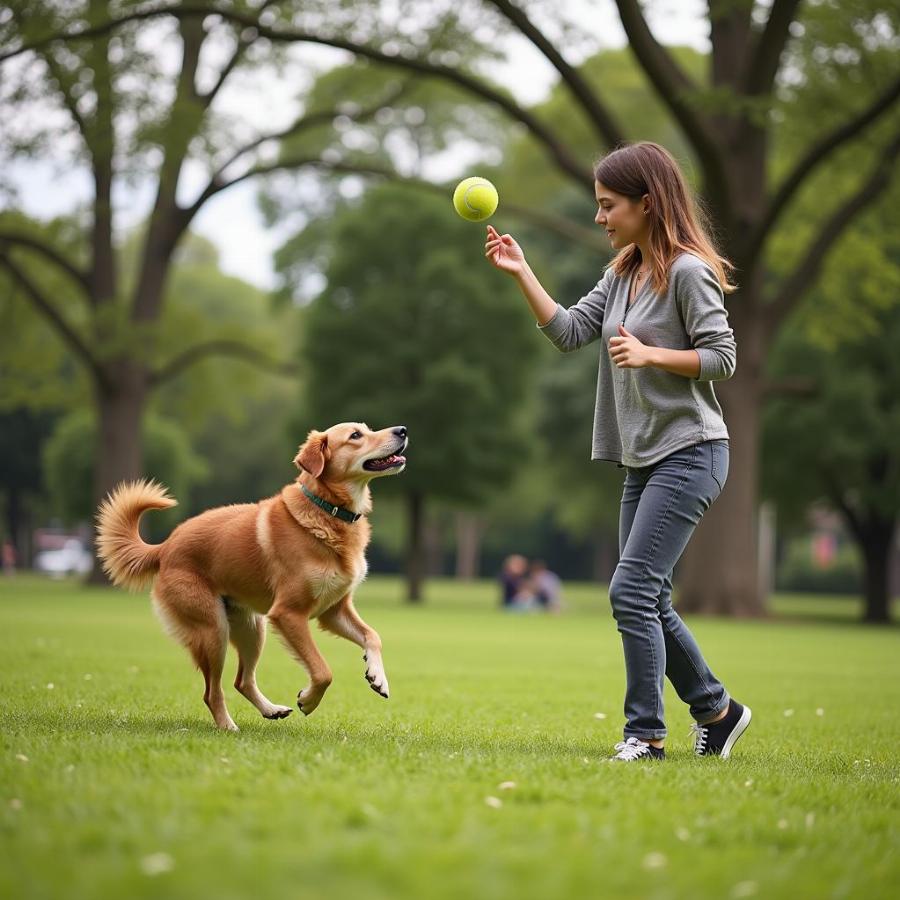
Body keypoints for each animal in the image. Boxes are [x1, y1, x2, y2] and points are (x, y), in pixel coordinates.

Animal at [96, 424, 408, 732]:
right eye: (355, 436)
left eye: (367, 428)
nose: (402, 430)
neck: (326, 510)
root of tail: (164, 547)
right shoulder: (288, 613)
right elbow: (322, 671)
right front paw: (308, 700)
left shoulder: (333, 611)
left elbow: (373, 636)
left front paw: (377, 676)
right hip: (214, 631)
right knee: (212, 692)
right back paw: (227, 726)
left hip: (252, 628)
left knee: (241, 681)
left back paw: (271, 710)